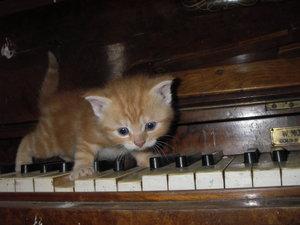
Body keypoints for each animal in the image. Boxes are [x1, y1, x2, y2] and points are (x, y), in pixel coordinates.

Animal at [15, 52, 176, 179]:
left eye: (150, 126)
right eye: (123, 131)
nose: (140, 143)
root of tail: (51, 99)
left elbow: (137, 151)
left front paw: (147, 157)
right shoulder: (86, 134)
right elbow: (83, 151)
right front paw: (82, 168)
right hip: (48, 144)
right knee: (28, 138)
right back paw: (21, 163)